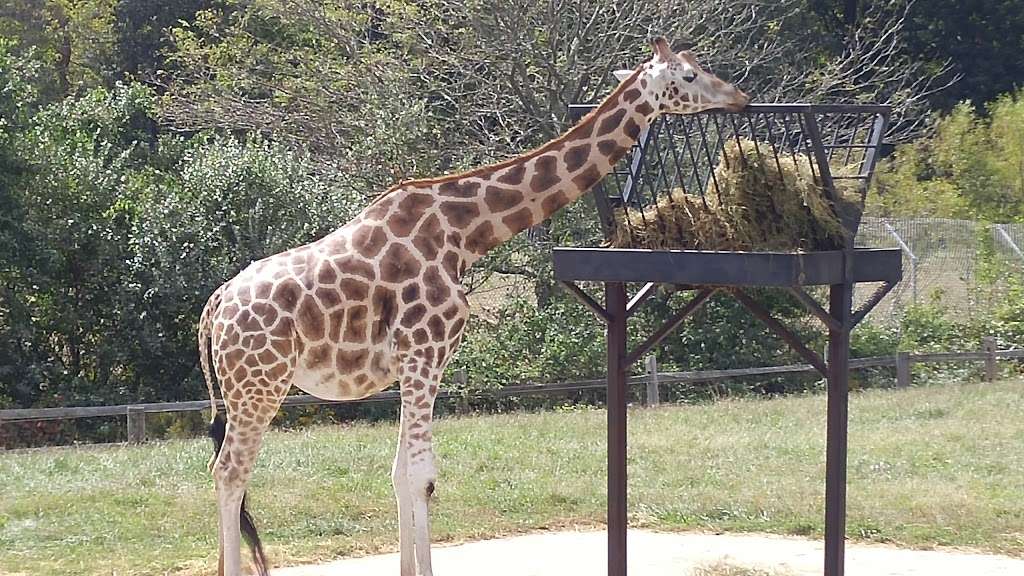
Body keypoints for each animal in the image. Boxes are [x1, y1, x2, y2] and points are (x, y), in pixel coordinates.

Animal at [197, 36, 745, 573]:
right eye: (690, 75)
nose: (737, 95)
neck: (465, 234)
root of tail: (214, 307)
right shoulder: (425, 352)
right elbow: (419, 474)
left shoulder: (416, 362)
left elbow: (402, 471)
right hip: (259, 385)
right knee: (229, 472)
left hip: (246, 389)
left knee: (227, 472)